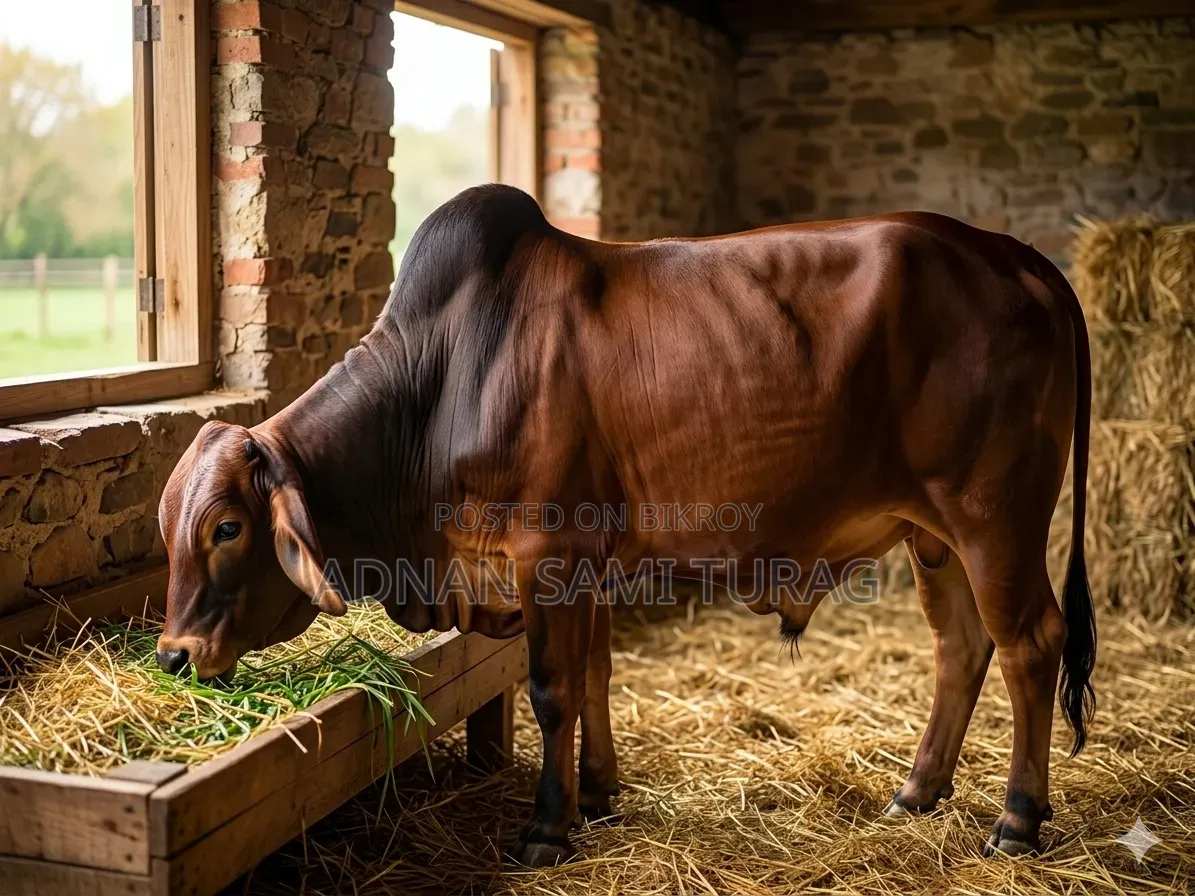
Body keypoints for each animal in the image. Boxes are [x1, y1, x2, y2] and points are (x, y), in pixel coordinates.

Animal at [156, 184, 1095, 867]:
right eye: (171, 526)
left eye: (227, 528)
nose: (174, 656)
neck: (443, 383)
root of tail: (1011, 253)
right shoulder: (586, 566)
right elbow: (598, 675)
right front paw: (599, 793)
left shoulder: (546, 555)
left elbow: (552, 688)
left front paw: (546, 826)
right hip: (931, 534)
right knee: (960, 647)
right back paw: (916, 791)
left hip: (993, 517)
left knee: (1029, 644)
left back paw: (1016, 819)